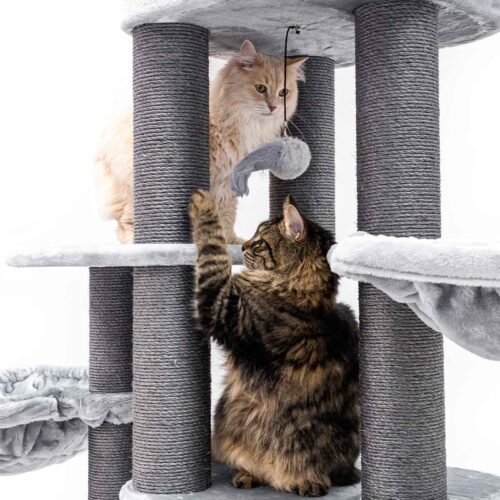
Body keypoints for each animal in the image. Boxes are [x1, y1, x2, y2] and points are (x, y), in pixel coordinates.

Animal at [94, 41, 307, 244]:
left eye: (283, 92)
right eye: (260, 88)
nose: (273, 107)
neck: (246, 123)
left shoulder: (229, 179)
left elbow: (227, 214)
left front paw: (230, 241)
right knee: (125, 223)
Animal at [188, 189, 360, 497]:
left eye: (259, 242)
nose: (244, 245)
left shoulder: (222, 308)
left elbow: (213, 252)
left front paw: (204, 204)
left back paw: (306, 482)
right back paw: (248, 476)